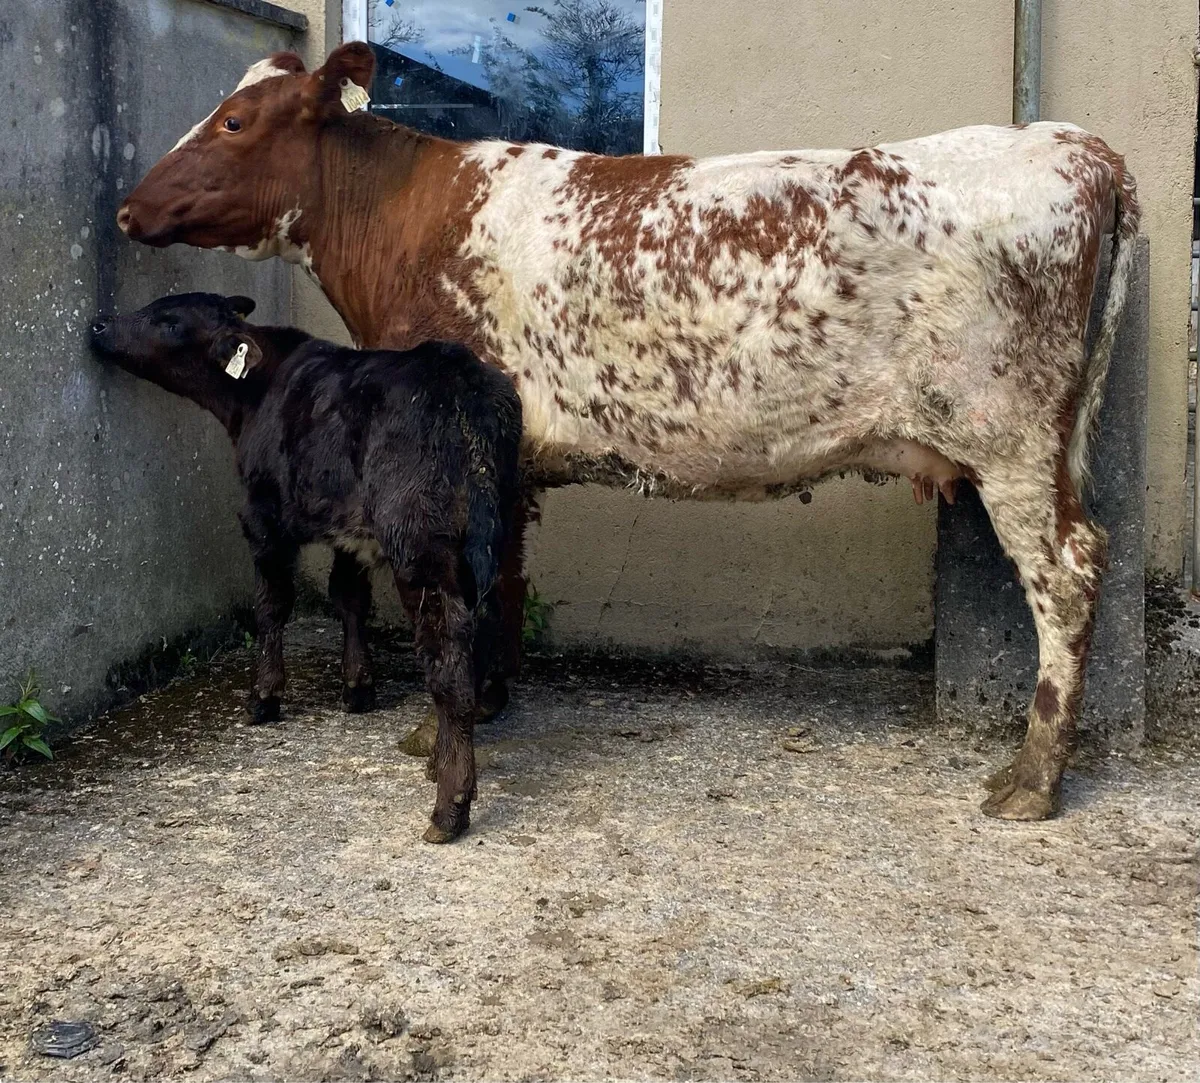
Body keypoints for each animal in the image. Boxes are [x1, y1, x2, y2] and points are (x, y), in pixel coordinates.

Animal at [89, 292, 523, 842]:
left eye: (168, 322)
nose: (100, 324)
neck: (256, 394)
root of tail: (463, 383)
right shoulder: (348, 531)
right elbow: (349, 597)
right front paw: (357, 686)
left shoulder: (262, 515)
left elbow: (272, 605)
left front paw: (264, 696)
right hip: (489, 536)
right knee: (488, 626)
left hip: (418, 545)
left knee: (449, 660)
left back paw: (450, 805)